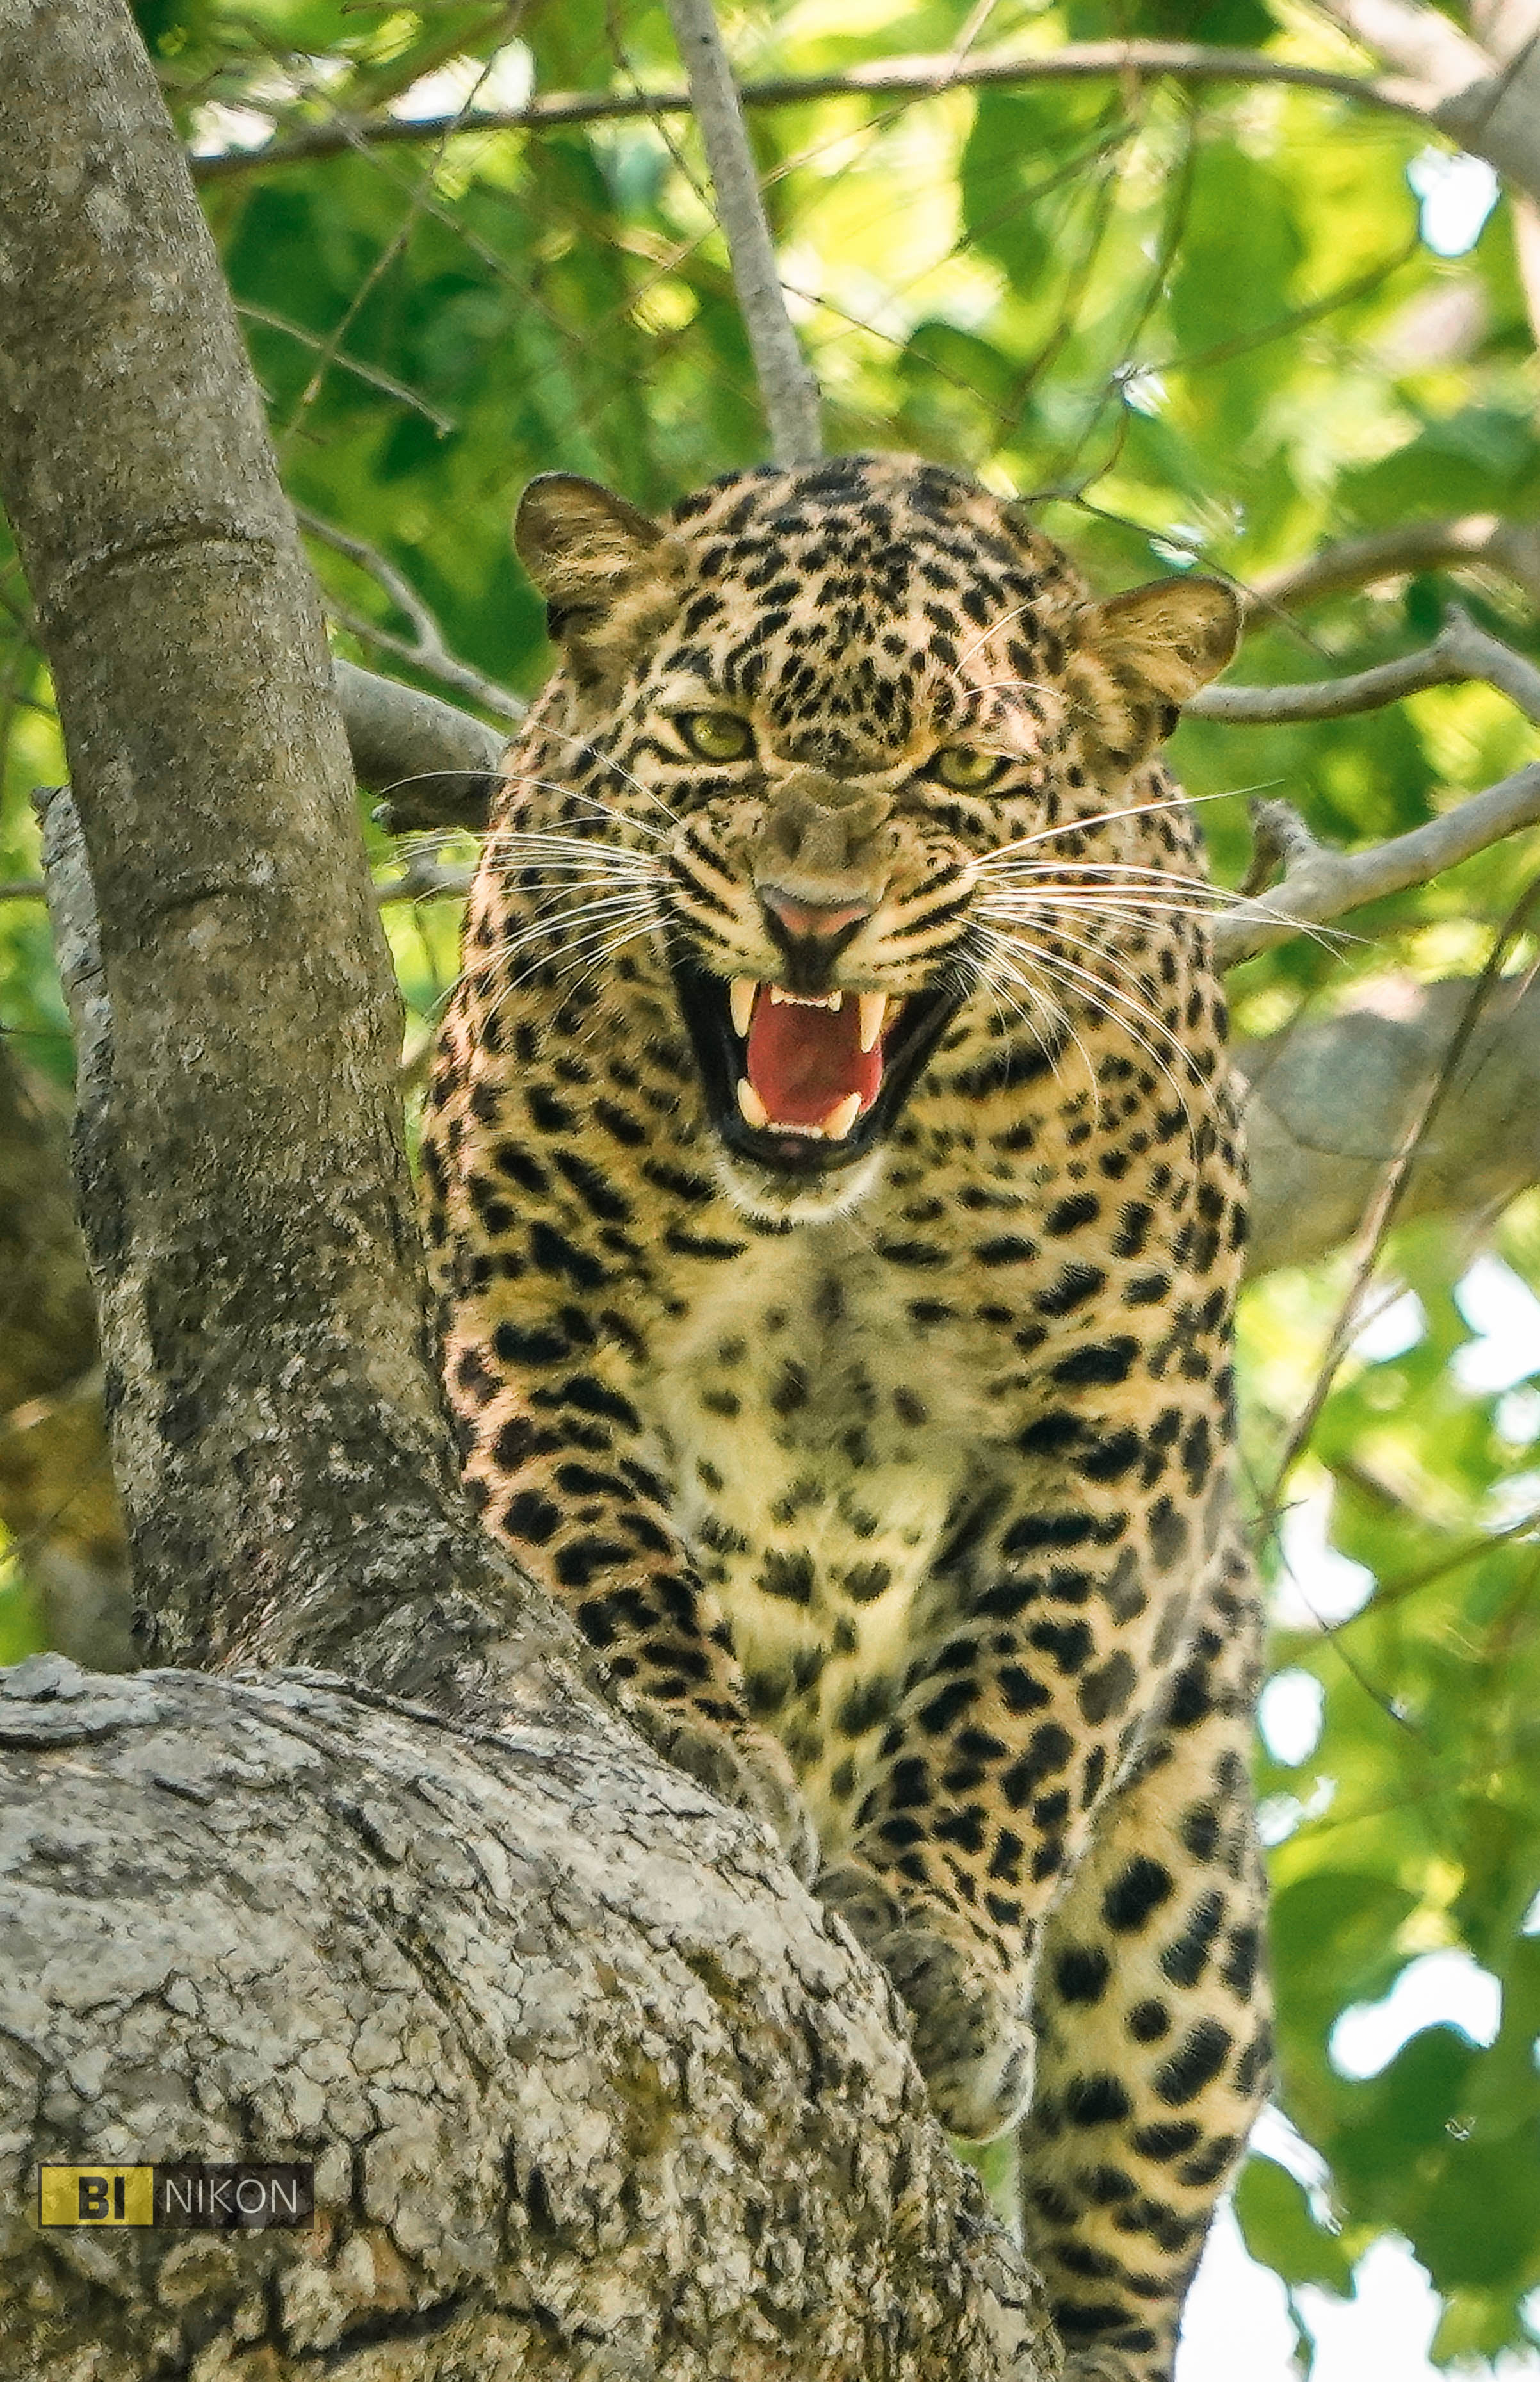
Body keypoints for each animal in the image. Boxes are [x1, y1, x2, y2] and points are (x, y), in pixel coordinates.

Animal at [422, 451, 1273, 2381]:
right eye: (716, 734)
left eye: (953, 771)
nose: (810, 914)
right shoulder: (520, 1296)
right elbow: (589, 1525)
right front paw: (689, 1728)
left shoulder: (1127, 1411)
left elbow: (1028, 1693)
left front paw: (942, 1935)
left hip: (1185, 1890)